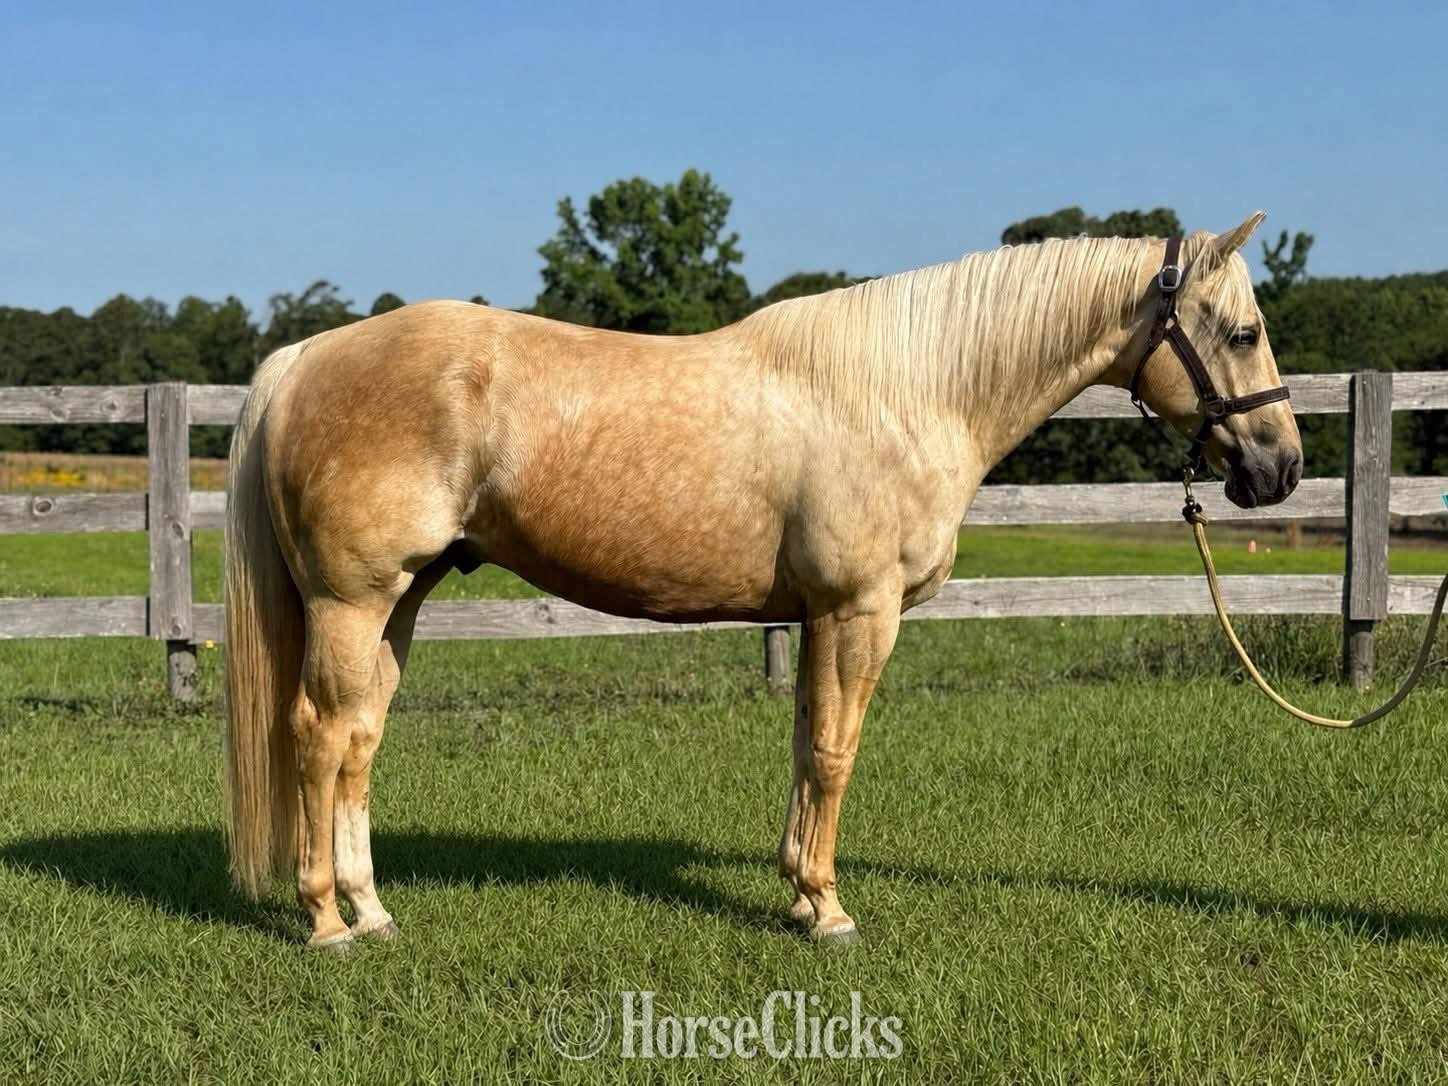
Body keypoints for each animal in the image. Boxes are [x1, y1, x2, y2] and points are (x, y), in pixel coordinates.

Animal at [223, 213, 1302, 950]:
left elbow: (803, 748)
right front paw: (828, 910)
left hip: (398, 601)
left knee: (361, 738)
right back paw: (325, 922)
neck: (906, 392)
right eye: (1242, 332)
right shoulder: (860, 611)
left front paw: (797, 890)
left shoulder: (817, 615)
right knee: (320, 737)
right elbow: (835, 753)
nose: (1279, 468)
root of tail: (303, 358)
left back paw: (371, 910)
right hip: (353, 601)